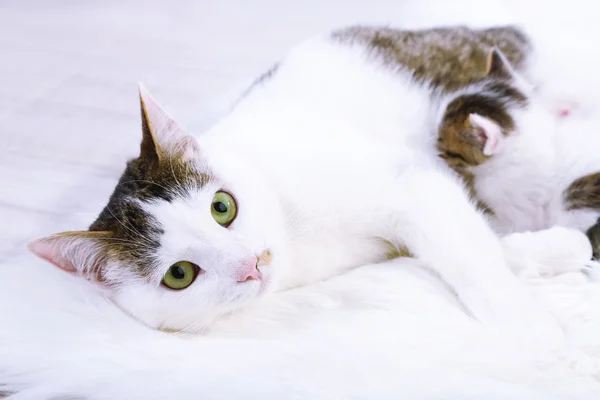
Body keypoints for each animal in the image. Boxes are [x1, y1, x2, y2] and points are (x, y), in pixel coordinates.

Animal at [23, 25, 560, 338]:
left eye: (222, 207)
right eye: (179, 275)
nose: (250, 264)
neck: (295, 235)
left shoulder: (411, 181)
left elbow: (464, 250)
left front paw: (528, 331)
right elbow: (464, 239)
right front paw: (544, 253)